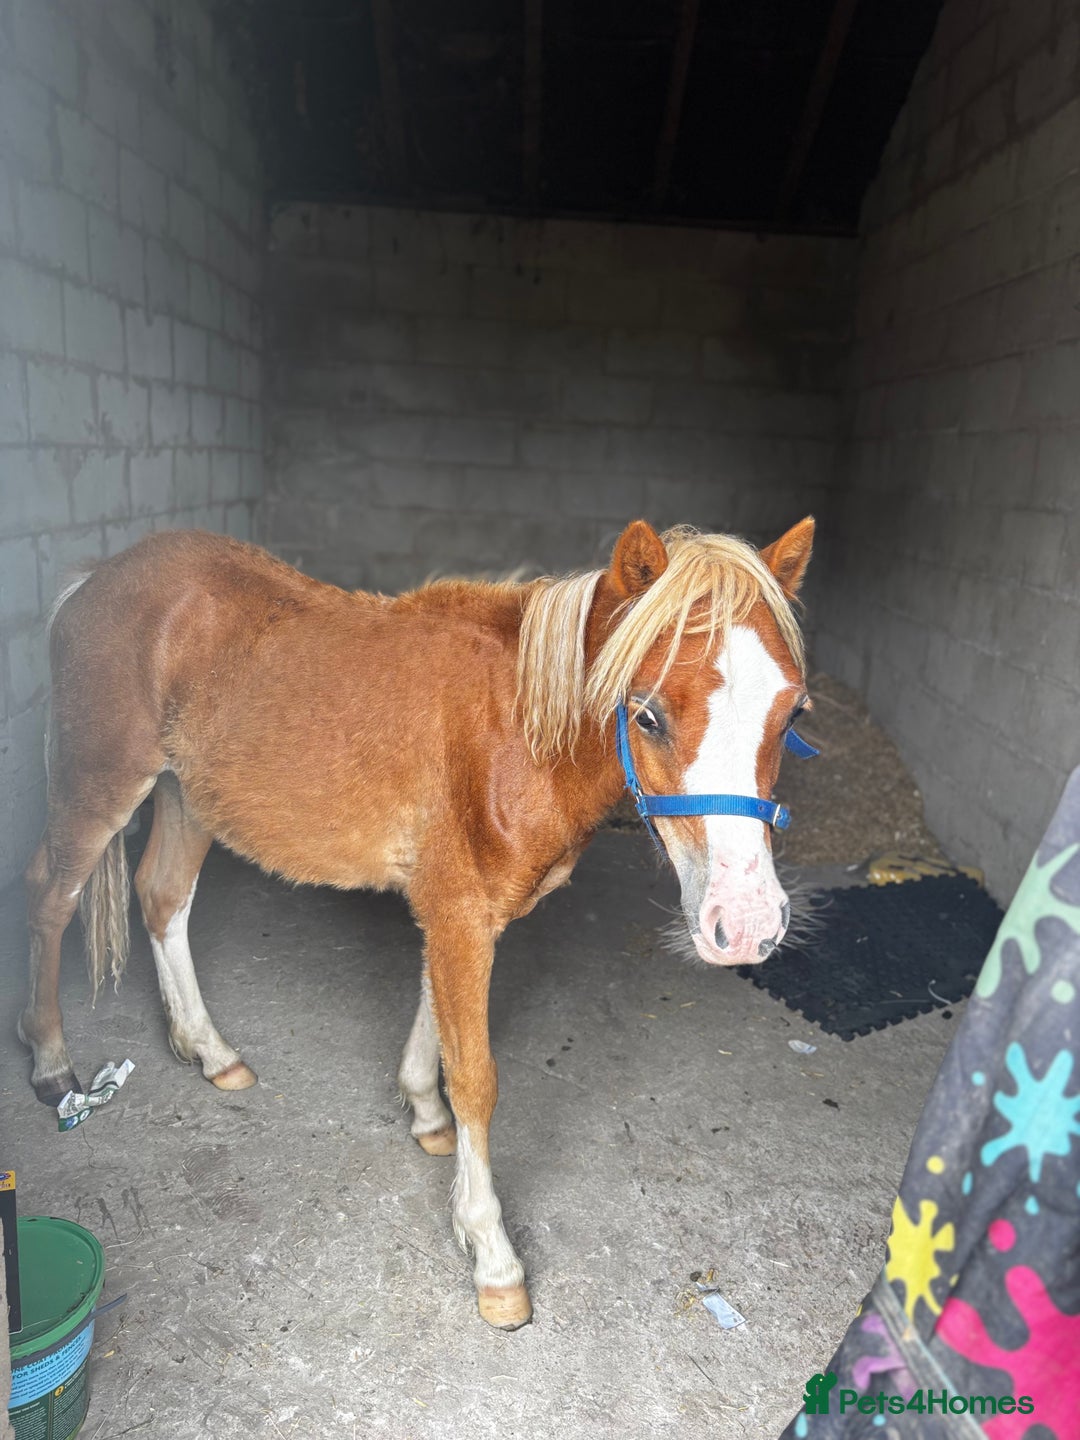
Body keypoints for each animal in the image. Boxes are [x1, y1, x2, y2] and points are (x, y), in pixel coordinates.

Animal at [20, 515, 814, 1329]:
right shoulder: (459, 909)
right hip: (101, 786)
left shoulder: (460, 911)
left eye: (793, 714)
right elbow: (476, 1077)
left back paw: (210, 1052)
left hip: (186, 795)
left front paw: (425, 1113)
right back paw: (52, 1066)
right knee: (50, 900)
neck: (516, 729)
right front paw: (492, 1256)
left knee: (162, 898)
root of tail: (97, 578)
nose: (747, 924)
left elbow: (436, 1021)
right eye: (647, 713)